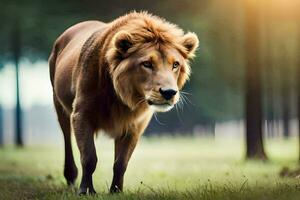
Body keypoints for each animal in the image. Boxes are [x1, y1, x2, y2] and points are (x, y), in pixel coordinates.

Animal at [48, 11, 199, 195]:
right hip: (59, 104)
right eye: (147, 64)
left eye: (175, 64)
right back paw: (70, 178)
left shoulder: (135, 125)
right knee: (66, 139)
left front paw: (116, 191)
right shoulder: (81, 115)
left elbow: (121, 163)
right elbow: (89, 157)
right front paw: (86, 191)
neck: (122, 97)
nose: (169, 92)